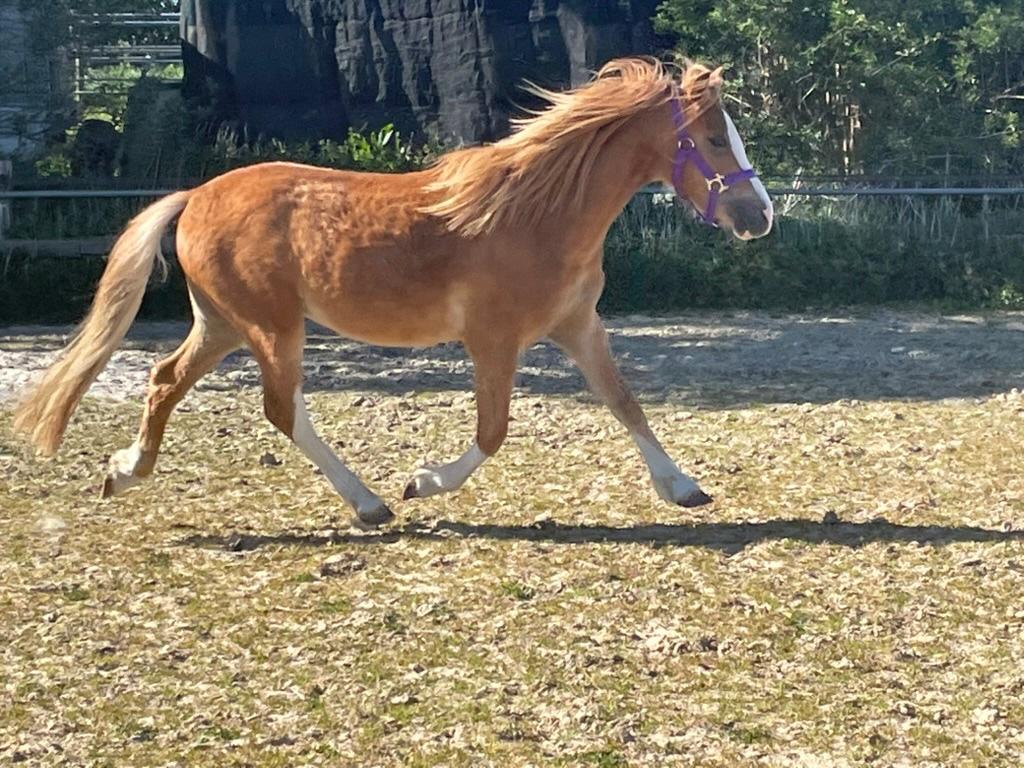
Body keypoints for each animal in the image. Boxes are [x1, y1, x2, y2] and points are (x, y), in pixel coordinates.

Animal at [13, 57, 773, 527]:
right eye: (713, 138)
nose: (759, 216)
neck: (537, 212)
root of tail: (195, 196)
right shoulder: (493, 340)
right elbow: (493, 432)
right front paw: (424, 482)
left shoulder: (580, 327)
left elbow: (626, 404)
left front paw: (684, 488)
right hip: (270, 327)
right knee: (280, 409)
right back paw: (371, 503)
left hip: (224, 323)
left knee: (166, 381)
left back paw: (124, 471)